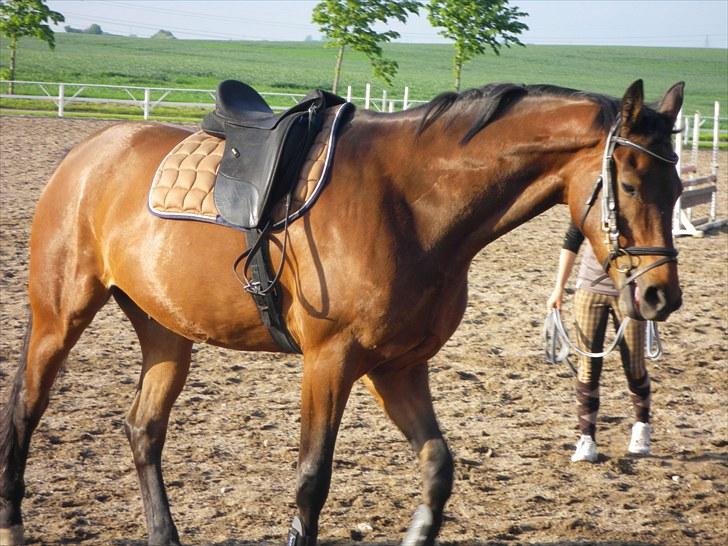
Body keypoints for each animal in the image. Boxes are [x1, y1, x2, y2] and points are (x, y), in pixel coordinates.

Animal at [1, 81, 684, 544]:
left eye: (677, 187)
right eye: (627, 184)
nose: (660, 296)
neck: (412, 203)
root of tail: (89, 151)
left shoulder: (398, 368)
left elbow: (438, 466)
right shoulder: (329, 362)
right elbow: (312, 479)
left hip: (166, 331)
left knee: (143, 428)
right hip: (59, 317)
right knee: (25, 412)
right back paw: (13, 522)